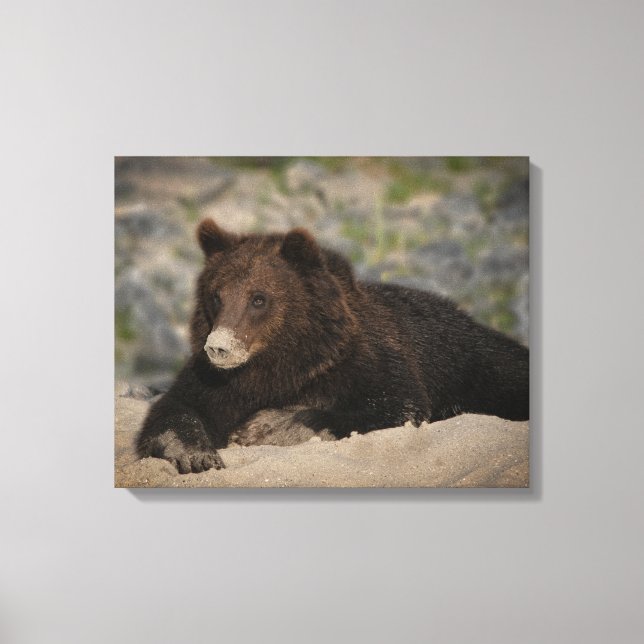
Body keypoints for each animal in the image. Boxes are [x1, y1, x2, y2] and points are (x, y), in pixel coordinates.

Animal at [136, 218, 529, 474]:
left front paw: (266, 426)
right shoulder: (217, 383)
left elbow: (394, 404)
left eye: (259, 298)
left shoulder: (366, 360)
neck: (280, 360)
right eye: (217, 295)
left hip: (478, 362)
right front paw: (197, 454)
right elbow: (176, 408)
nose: (218, 348)